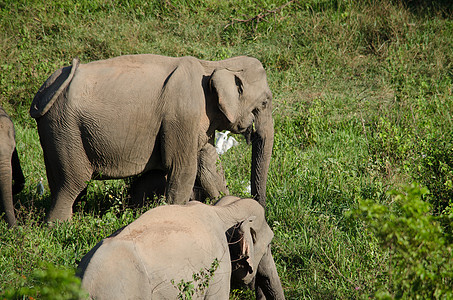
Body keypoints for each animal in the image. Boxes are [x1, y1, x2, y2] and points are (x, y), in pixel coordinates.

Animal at [31, 54, 274, 223]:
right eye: (264, 102)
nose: (261, 210)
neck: (214, 64)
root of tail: (44, 92)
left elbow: (208, 163)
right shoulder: (183, 116)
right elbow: (183, 169)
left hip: (54, 131)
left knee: (62, 183)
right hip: (65, 128)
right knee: (72, 183)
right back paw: (60, 227)